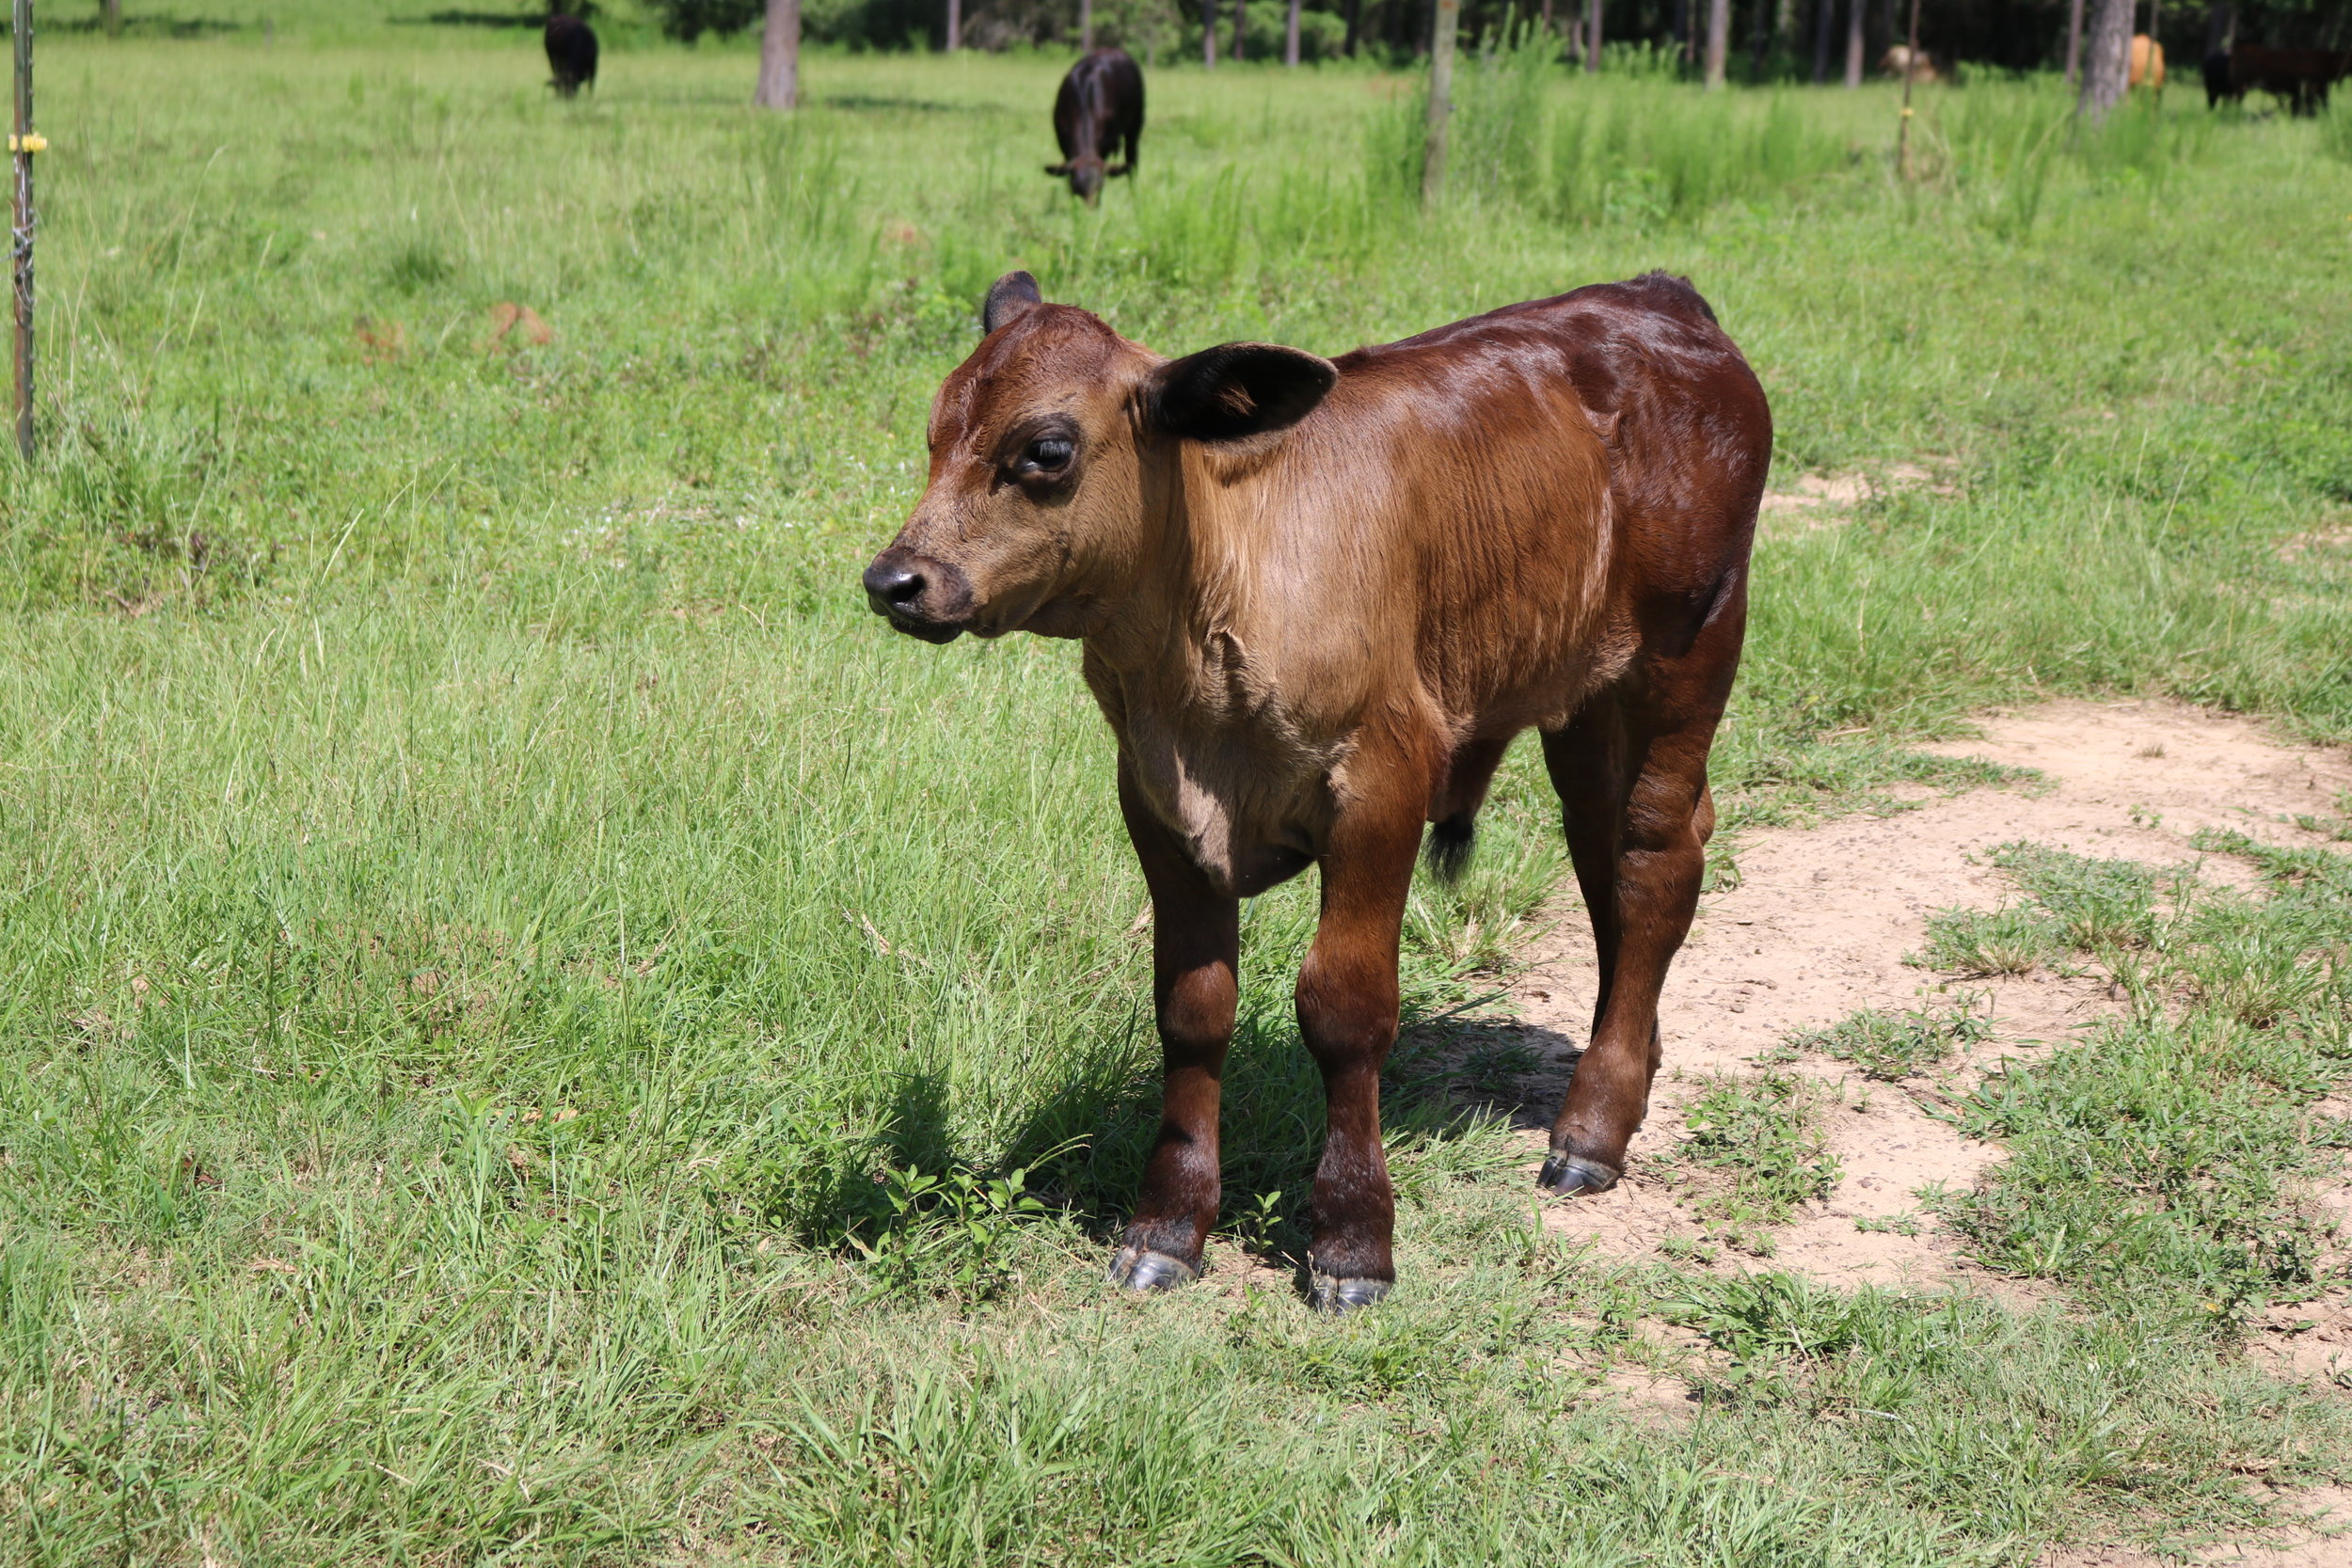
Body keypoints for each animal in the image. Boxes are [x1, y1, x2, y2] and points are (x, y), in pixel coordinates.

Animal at [862, 271, 1771, 1312]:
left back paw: (1592, 1130)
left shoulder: (1382, 788)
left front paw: (1352, 1238)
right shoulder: (1155, 806)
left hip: (1687, 653)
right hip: (1579, 694)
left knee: (1656, 858)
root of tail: (1659, 295)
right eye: (936, 431)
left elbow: (1343, 1007)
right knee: (1600, 853)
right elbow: (1191, 1008)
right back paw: (1628, 1068)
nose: (894, 579)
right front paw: (1167, 1228)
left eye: (1044, 450)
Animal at [1046, 49, 1144, 206]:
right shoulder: (1064, 144)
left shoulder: (1106, 143)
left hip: (1135, 125)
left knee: (1132, 162)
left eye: (1100, 186)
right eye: (1076, 186)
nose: (1089, 209)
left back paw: (1133, 195)